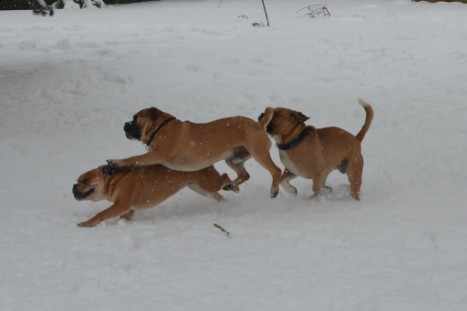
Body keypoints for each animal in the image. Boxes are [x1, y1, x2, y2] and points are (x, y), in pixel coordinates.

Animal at [72, 165, 232, 228]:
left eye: (84, 180)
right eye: (78, 180)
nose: (73, 187)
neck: (113, 179)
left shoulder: (121, 205)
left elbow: (101, 214)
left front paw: (86, 223)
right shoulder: (128, 209)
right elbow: (124, 217)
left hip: (208, 183)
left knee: (224, 177)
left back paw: (233, 186)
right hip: (200, 188)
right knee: (217, 194)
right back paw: (225, 203)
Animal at [104, 108, 284, 199]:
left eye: (135, 118)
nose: (125, 124)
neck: (161, 127)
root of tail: (258, 125)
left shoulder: (157, 154)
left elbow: (133, 159)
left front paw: (114, 163)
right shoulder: (154, 157)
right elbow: (136, 162)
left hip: (259, 152)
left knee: (276, 170)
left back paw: (274, 190)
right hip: (233, 159)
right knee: (245, 175)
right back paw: (231, 185)